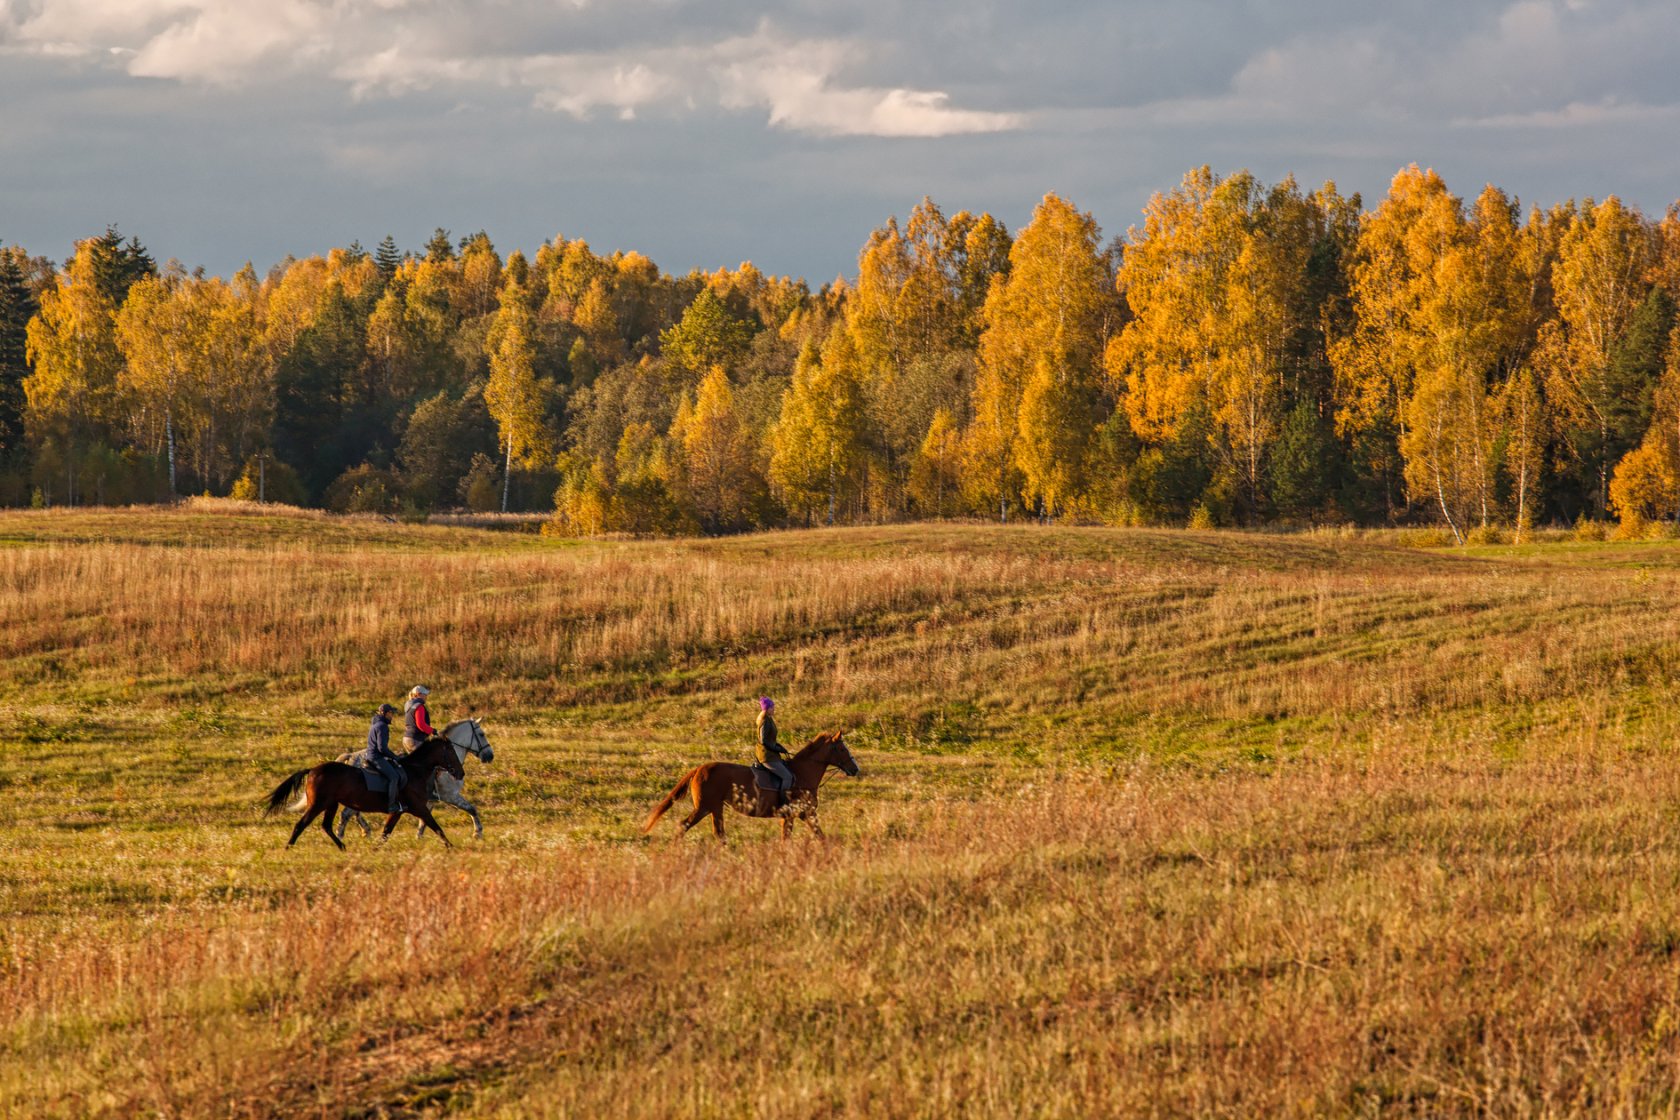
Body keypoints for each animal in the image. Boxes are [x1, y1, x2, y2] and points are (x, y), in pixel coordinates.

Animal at [267, 735, 467, 849]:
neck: (414, 771)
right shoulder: (419, 808)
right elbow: (437, 827)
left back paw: (342, 846)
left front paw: (375, 848)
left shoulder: (398, 811)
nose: (461, 773)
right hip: (318, 804)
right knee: (301, 824)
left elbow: (386, 831)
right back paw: (288, 847)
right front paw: (451, 847)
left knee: (326, 826)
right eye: (451, 752)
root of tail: (313, 770)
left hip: (331, 804)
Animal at [337, 718, 493, 839]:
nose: (490, 756)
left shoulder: (429, 800)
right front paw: (478, 833)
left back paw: (365, 831)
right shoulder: (450, 796)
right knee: (346, 814)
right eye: (481, 734)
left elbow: (424, 820)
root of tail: (351, 756)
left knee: (354, 812)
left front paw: (419, 836)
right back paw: (341, 836)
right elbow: (472, 809)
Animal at [638, 728, 860, 839]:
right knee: (684, 826)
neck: (803, 773)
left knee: (718, 833)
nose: (855, 769)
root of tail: (700, 769)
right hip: (705, 807)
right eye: (842, 748)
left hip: (715, 808)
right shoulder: (800, 814)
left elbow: (812, 837)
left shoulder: (800, 815)